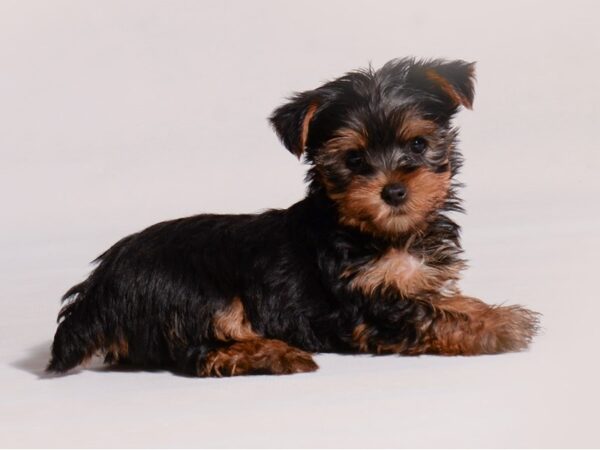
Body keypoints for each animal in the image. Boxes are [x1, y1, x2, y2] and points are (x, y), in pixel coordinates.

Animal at [48, 57, 540, 376]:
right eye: (354, 159)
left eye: (418, 145)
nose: (394, 191)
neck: (379, 233)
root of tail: (97, 288)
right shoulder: (365, 305)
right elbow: (429, 315)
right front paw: (503, 325)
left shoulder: (407, 282)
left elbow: (445, 301)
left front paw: (485, 309)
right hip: (193, 290)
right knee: (200, 352)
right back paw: (275, 353)